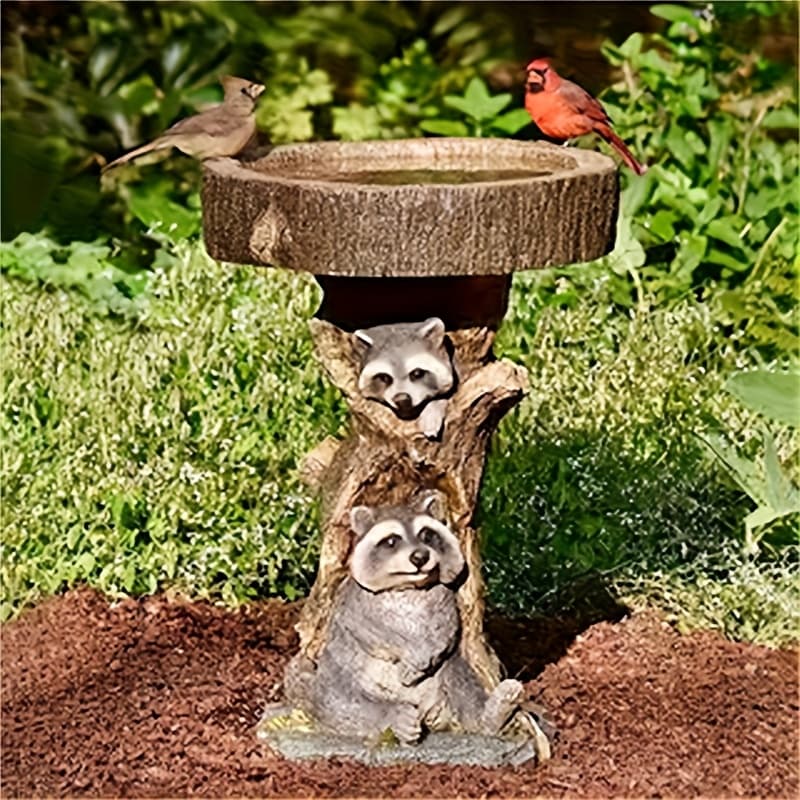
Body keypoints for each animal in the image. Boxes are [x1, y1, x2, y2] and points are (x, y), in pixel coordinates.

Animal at [285, 491, 524, 744]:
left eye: (427, 535)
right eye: (391, 541)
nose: (420, 556)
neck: (408, 585)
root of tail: (428, 713)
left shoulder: (443, 594)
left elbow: (446, 627)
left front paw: (422, 656)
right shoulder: (354, 599)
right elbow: (368, 629)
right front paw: (407, 651)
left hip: (451, 672)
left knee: (463, 683)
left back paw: (491, 715)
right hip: (334, 675)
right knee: (340, 701)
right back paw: (394, 717)